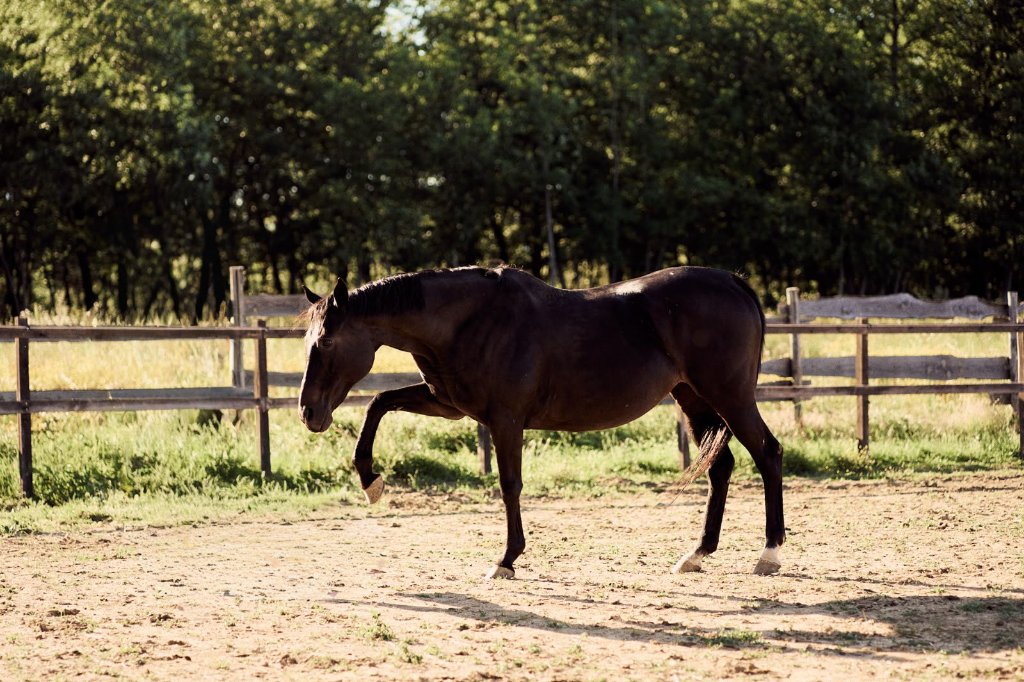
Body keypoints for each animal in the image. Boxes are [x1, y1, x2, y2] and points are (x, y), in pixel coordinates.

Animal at [298, 265, 785, 578]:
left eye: (325, 342)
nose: (309, 412)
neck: (472, 320)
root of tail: (733, 282)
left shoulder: (505, 420)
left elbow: (509, 485)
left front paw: (507, 559)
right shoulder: (448, 405)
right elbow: (378, 403)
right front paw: (371, 481)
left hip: (730, 397)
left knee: (768, 454)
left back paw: (770, 554)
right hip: (693, 399)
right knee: (722, 467)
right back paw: (697, 554)